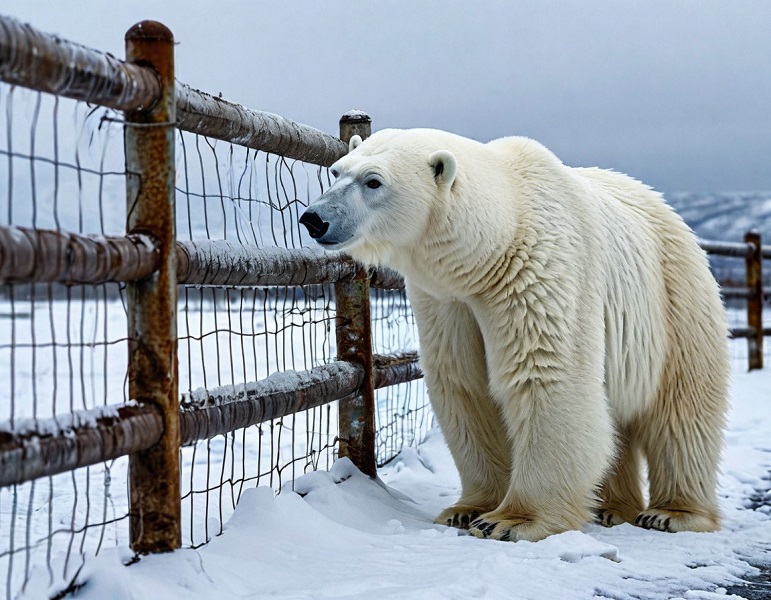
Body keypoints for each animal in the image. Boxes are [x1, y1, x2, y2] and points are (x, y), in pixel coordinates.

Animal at [300, 129, 728, 540]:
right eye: (336, 171)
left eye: (374, 181)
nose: (314, 218)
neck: (496, 241)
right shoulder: (447, 301)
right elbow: (464, 384)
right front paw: (465, 510)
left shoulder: (537, 274)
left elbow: (545, 375)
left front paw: (511, 522)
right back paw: (612, 508)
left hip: (673, 301)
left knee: (681, 409)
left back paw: (671, 513)